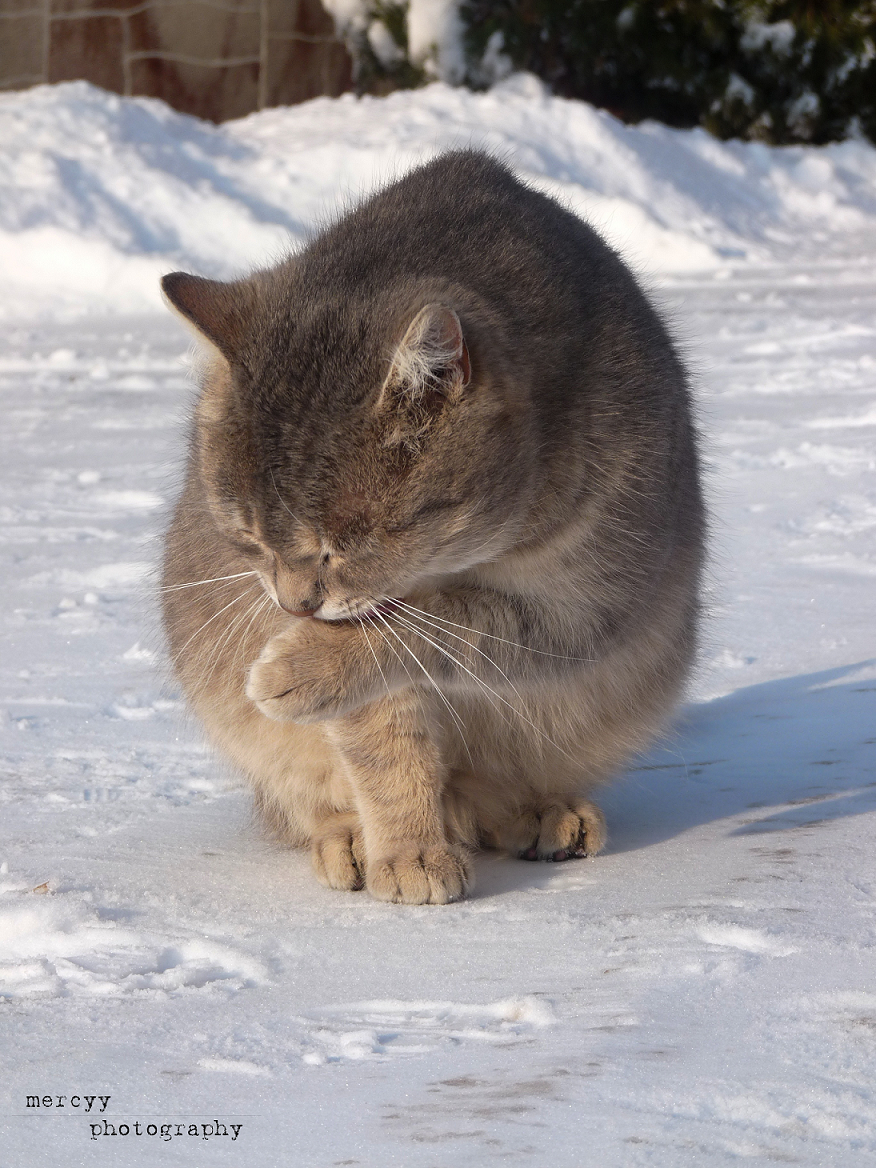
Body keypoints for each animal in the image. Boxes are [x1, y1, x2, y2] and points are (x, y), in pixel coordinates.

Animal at [160, 150, 705, 906]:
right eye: (248, 537)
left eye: (343, 544)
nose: (293, 607)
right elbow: (384, 741)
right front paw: (407, 851)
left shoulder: (586, 605)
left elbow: (446, 625)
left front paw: (307, 665)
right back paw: (351, 839)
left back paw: (542, 813)